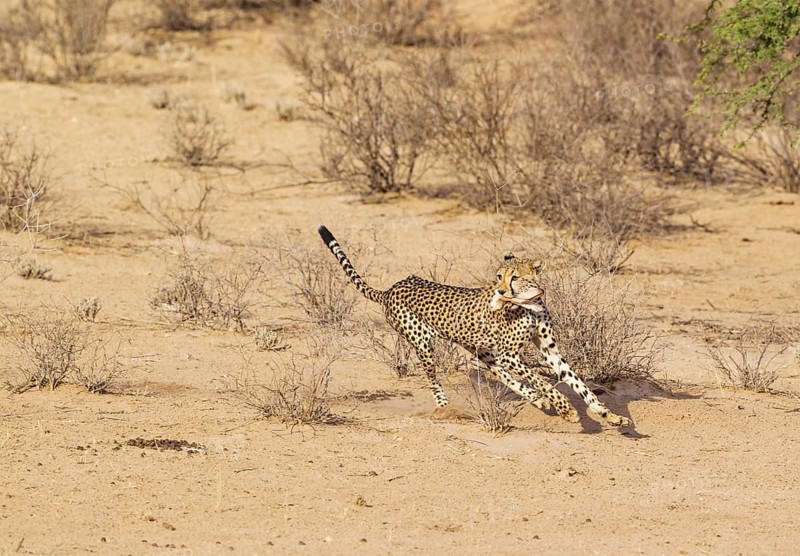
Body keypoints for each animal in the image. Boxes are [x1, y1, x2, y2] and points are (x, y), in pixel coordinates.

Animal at [318, 225, 631, 427]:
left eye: (515, 277)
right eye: (499, 276)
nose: (501, 292)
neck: (530, 303)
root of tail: (392, 288)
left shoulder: (548, 351)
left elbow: (579, 384)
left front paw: (611, 416)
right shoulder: (511, 353)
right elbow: (544, 381)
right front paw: (566, 410)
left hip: (479, 347)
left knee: (497, 372)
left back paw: (536, 400)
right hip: (424, 344)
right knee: (434, 378)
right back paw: (445, 408)